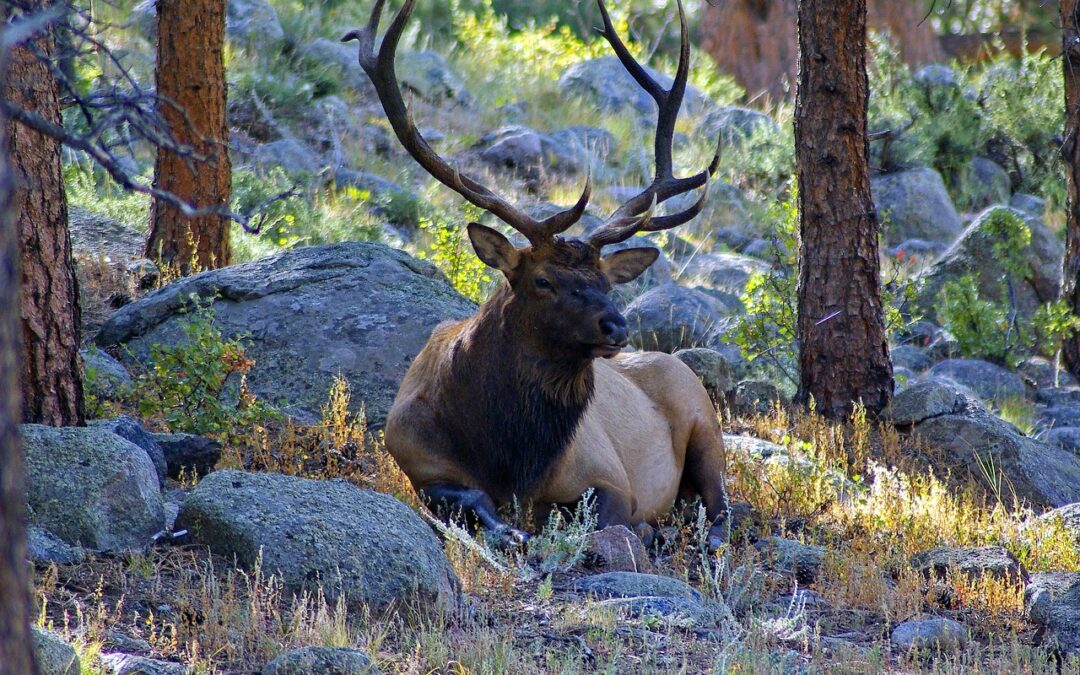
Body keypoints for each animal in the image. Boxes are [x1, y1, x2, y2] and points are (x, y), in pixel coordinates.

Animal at [345, 0, 730, 544]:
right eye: (543, 281)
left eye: (606, 283)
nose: (616, 326)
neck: (510, 461)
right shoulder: (416, 460)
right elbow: (469, 498)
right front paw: (511, 531)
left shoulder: (609, 475)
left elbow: (602, 520)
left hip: (706, 424)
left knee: (724, 507)